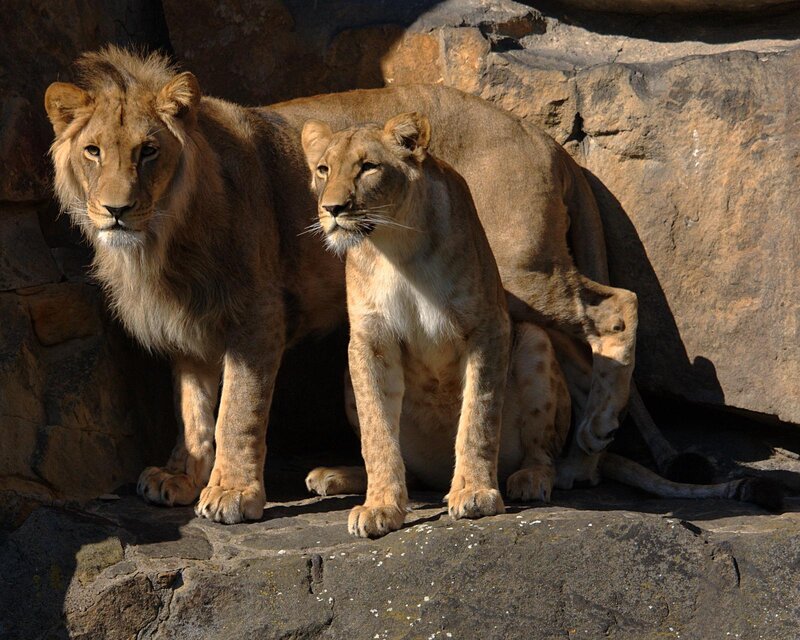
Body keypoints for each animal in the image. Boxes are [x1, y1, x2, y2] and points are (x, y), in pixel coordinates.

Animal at [46, 47, 671, 524]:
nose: (116, 210)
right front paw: (182, 476)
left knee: (617, 306)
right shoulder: (189, 325)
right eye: (93, 151)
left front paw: (231, 493)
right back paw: (581, 461)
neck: (162, 240)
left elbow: (237, 411)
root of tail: (546, 138)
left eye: (149, 151)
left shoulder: (257, 316)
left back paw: (583, 446)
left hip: (521, 270)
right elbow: (194, 410)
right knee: (580, 359)